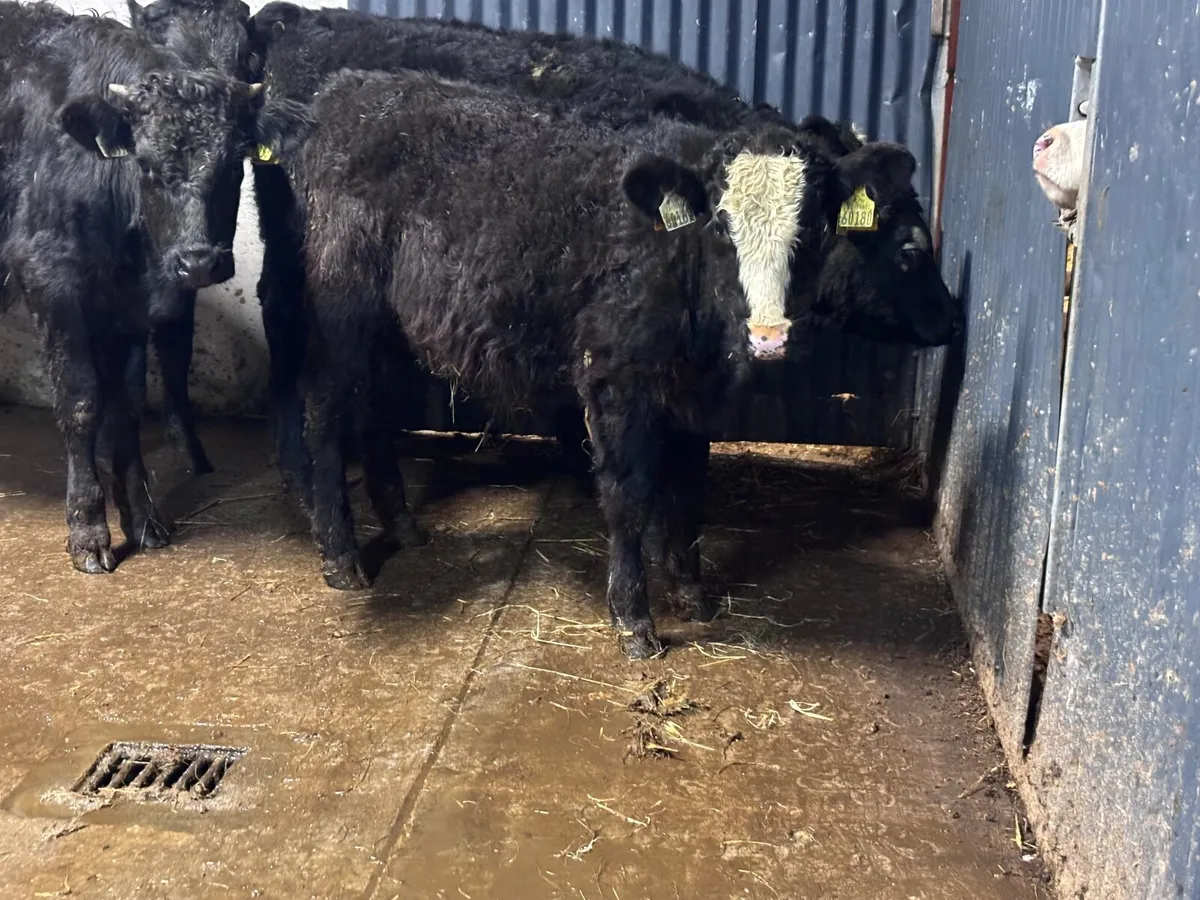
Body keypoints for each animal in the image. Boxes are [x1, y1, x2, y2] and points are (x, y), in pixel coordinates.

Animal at [0, 1, 264, 573]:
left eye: (233, 163)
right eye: (145, 164)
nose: (198, 262)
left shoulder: (130, 308)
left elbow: (127, 406)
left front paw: (142, 516)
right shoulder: (49, 276)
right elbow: (81, 401)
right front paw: (88, 529)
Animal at [252, 68, 942, 657]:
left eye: (818, 228)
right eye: (721, 225)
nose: (769, 336)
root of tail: (344, 94)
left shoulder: (695, 392)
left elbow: (688, 487)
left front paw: (691, 593)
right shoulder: (615, 375)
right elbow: (629, 492)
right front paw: (635, 620)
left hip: (388, 329)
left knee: (373, 412)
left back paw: (402, 525)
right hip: (341, 311)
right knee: (324, 416)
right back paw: (341, 556)